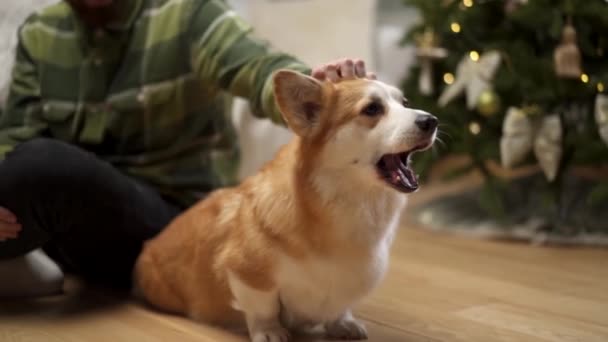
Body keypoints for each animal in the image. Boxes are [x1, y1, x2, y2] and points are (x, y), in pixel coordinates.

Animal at [133, 70, 436, 342]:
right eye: (372, 108)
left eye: (405, 102)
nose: (431, 120)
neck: (352, 203)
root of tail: (147, 248)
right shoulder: (246, 274)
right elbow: (263, 309)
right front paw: (270, 332)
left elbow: (339, 308)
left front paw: (343, 323)